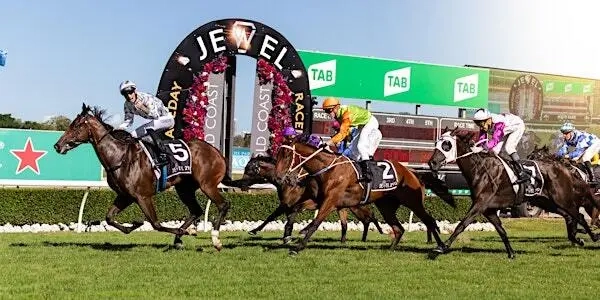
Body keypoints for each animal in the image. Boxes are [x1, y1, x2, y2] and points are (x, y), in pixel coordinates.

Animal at [52, 104, 231, 250]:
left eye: (76, 126)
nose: (57, 145)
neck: (120, 157)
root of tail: (218, 153)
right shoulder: (125, 196)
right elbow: (109, 218)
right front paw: (135, 224)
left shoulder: (142, 196)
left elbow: (156, 224)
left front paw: (184, 231)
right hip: (184, 188)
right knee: (196, 210)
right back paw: (179, 238)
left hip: (207, 184)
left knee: (223, 205)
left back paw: (215, 239)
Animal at [230, 155, 384, 244]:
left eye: (249, 169)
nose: (240, 184)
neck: (289, 180)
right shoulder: (288, 205)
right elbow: (280, 218)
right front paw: (285, 236)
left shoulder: (292, 204)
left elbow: (278, 217)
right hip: (343, 207)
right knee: (348, 224)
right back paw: (347, 240)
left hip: (356, 206)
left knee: (369, 217)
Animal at [272, 139, 454, 254]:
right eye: (276, 155)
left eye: (286, 155)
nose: (278, 178)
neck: (329, 169)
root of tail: (412, 173)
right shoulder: (319, 200)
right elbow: (296, 208)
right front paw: (288, 234)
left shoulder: (330, 201)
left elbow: (316, 222)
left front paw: (298, 247)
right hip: (386, 207)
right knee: (399, 229)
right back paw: (390, 249)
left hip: (413, 203)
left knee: (429, 221)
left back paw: (440, 246)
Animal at [428, 127, 596, 258]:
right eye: (436, 143)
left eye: (447, 145)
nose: (432, 163)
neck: (480, 169)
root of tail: (564, 169)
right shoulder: (489, 209)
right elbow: (501, 230)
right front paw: (511, 252)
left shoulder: (480, 204)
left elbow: (462, 224)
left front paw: (442, 247)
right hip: (547, 202)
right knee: (570, 216)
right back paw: (577, 239)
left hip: (562, 199)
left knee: (579, 216)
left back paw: (593, 236)